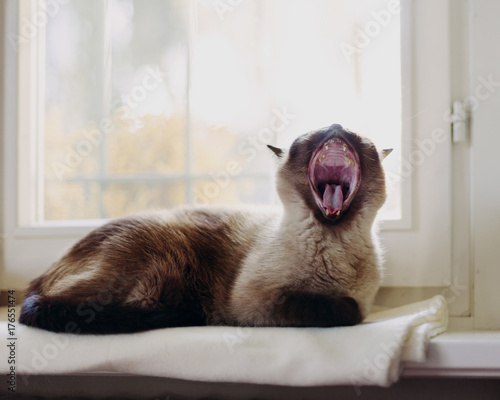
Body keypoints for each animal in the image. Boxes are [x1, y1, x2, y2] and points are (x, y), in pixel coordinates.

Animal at [19, 124, 390, 334]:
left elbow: (350, 307)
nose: (335, 127)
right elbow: (339, 309)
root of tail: (39, 278)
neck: (333, 242)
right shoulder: (255, 302)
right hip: (163, 267)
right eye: (309, 138)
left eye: (357, 138)